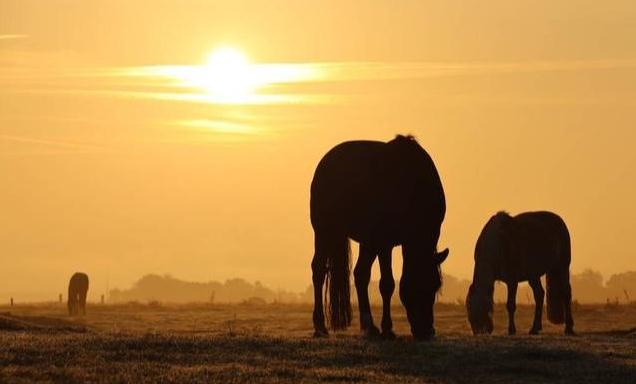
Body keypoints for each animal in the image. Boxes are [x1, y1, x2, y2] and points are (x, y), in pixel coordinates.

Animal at [310, 135, 450, 340]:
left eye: (435, 286)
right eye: (419, 286)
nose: (427, 331)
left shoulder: (380, 242)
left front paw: (381, 327)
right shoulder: (385, 243)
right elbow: (387, 284)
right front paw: (388, 328)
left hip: (366, 242)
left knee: (360, 274)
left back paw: (369, 326)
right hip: (325, 232)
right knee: (319, 270)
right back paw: (320, 326)